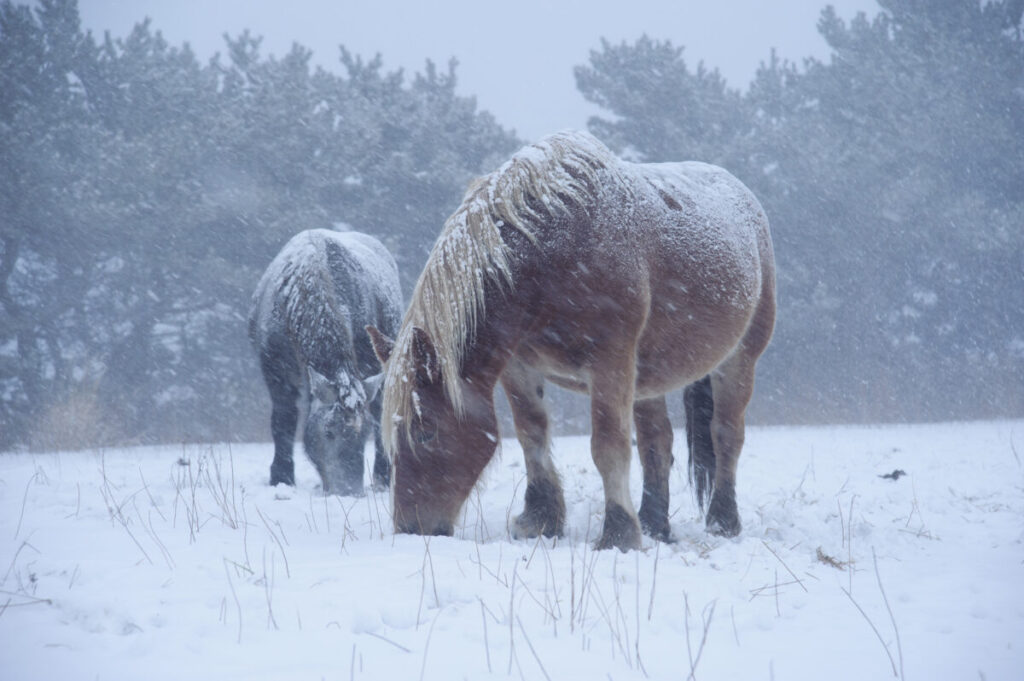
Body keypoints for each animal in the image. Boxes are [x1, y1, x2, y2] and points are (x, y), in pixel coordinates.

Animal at [249, 228, 401, 493]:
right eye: (329, 432)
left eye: (364, 435)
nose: (350, 491)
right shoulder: (274, 368)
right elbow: (283, 420)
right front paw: (281, 475)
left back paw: (383, 476)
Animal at [368, 130, 774, 548]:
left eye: (426, 430)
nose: (411, 529)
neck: (553, 247)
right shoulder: (519, 365)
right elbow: (532, 435)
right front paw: (540, 519)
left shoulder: (611, 361)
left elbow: (608, 446)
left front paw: (618, 533)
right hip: (649, 376)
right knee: (657, 440)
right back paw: (654, 524)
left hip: (739, 361)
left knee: (726, 435)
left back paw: (722, 521)